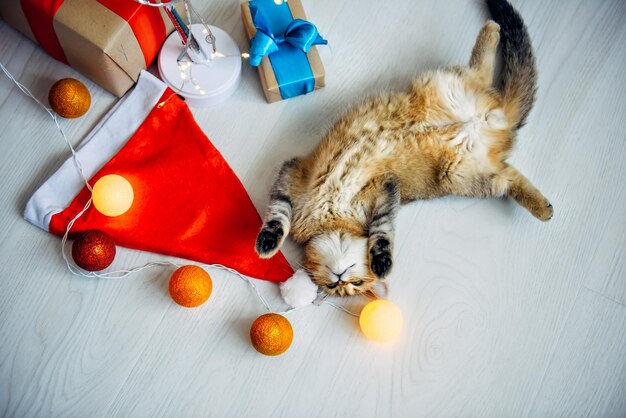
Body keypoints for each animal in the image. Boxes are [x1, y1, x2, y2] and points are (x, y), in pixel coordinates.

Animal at [251, 0, 548, 296]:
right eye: (334, 287)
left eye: (357, 284)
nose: (342, 281)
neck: (329, 214)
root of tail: (496, 120)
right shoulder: (292, 175)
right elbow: (278, 213)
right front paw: (269, 239)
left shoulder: (383, 188)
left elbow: (382, 229)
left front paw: (382, 258)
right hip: (462, 168)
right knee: (507, 170)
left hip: (457, 149)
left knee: (482, 69)